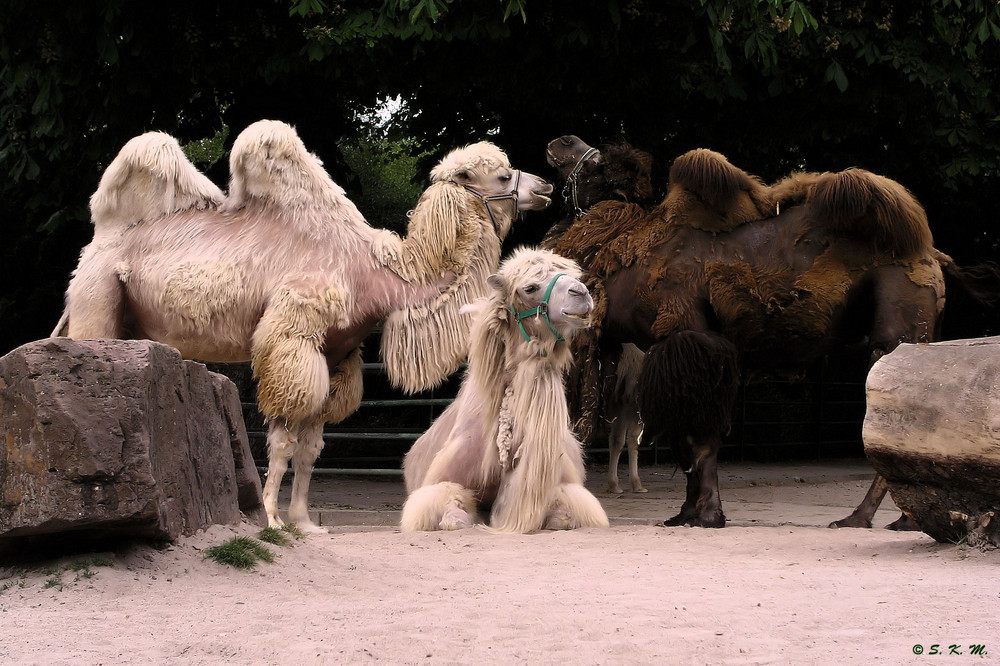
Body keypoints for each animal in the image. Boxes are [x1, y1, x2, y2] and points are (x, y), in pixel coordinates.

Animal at [52, 115, 556, 528]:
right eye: (503, 174)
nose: (545, 186)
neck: (381, 274)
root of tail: (95, 247)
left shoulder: (337, 355)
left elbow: (312, 447)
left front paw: (305, 522)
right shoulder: (291, 339)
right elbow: (280, 443)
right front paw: (272, 520)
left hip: (129, 323)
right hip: (98, 298)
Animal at [398, 246, 608, 532]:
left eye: (575, 275)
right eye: (530, 287)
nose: (582, 294)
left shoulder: (566, 485)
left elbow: (562, 516)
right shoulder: (439, 480)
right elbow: (452, 515)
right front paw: (457, 518)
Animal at [548, 136, 1000, 528]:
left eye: (597, 163)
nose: (560, 142)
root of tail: (934, 254)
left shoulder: (689, 334)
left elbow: (700, 436)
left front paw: (705, 516)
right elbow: (687, 433)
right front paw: (685, 514)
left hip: (898, 327)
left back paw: (860, 518)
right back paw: (902, 520)